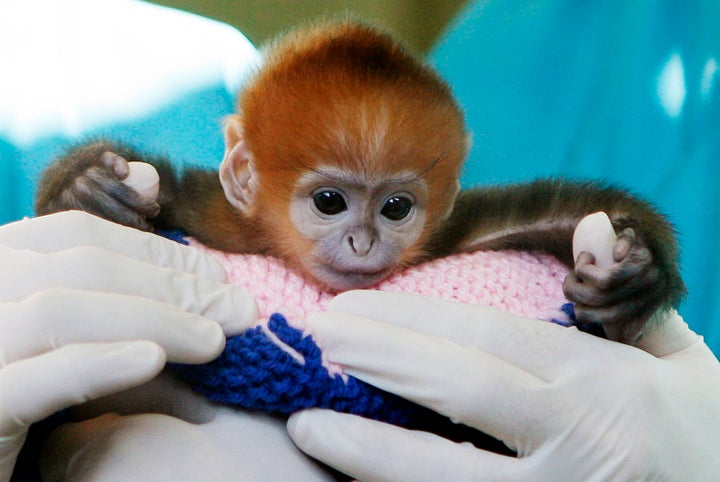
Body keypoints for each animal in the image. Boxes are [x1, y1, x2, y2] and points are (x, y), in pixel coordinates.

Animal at [36, 19, 684, 342]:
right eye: (330, 202)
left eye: (396, 208)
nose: (362, 242)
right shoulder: (216, 215)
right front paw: (85, 187)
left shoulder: (454, 235)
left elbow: (538, 212)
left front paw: (637, 275)